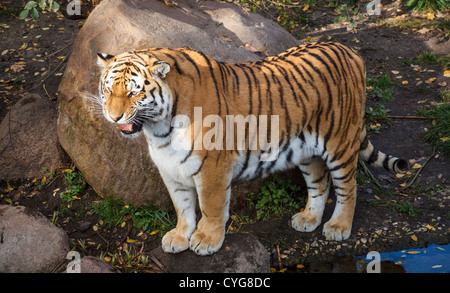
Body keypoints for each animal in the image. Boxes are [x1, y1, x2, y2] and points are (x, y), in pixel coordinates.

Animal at [96, 42, 408, 254]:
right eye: (109, 89)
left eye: (134, 92)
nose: (114, 117)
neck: (159, 128)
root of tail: (350, 51)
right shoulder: (171, 169)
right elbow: (182, 207)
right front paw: (180, 237)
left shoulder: (212, 168)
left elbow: (210, 207)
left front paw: (207, 240)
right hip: (308, 151)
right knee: (320, 184)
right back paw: (308, 219)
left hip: (340, 143)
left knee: (349, 187)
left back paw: (338, 227)